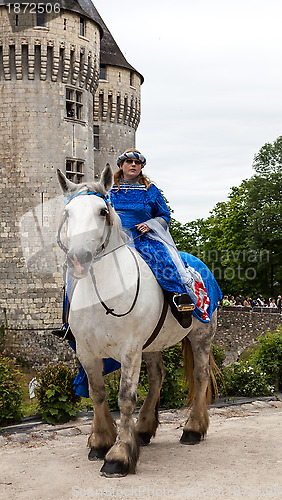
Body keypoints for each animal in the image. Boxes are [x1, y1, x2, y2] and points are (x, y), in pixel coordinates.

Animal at [55, 167, 218, 476]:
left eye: (102, 211)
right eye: (67, 212)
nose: (79, 259)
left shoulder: (129, 350)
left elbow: (125, 398)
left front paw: (119, 455)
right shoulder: (86, 351)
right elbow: (97, 393)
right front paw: (101, 441)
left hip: (201, 337)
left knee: (201, 375)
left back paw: (193, 429)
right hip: (152, 345)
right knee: (157, 377)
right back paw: (143, 430)